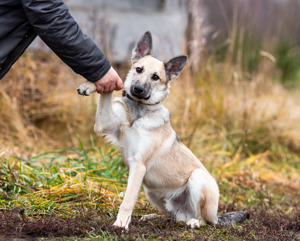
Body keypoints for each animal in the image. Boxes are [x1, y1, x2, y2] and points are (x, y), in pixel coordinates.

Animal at [77, 31, 248, 230]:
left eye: (156, 77)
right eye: (139, 69)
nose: (137, 89)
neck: (139, 110)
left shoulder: (138, 166)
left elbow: (127, 201)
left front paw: (120, 225)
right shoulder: (105, 124)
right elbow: (108, 89)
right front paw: (90, 84)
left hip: (196, 178)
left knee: (203, 220)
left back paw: (194, 222)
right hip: (150, 190)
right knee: (172, 216)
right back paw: (154, 217)